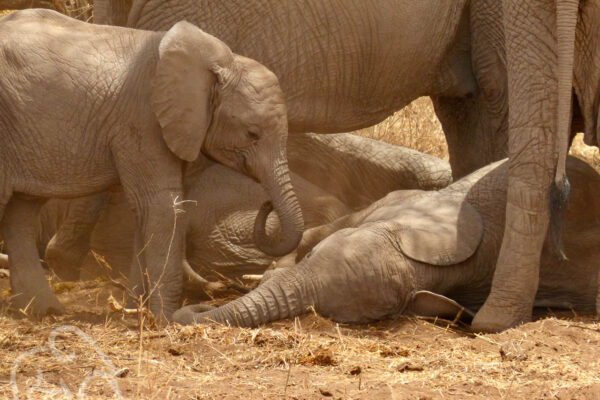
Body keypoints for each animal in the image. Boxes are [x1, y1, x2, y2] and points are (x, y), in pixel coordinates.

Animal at [0, 9, 302, 318]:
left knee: (22, 212)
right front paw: (165, 319)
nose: (266, 203)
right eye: (252, 134)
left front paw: (135, 311)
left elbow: (149, 209)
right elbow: (162, 205)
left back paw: (42, 311)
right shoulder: (143, 119)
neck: (221, 63)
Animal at [172, 155, 600, 324]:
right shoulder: (396, 205)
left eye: (321, 311)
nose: (194, 310)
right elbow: (322, 230)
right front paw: (261, 275)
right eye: (312, 260)